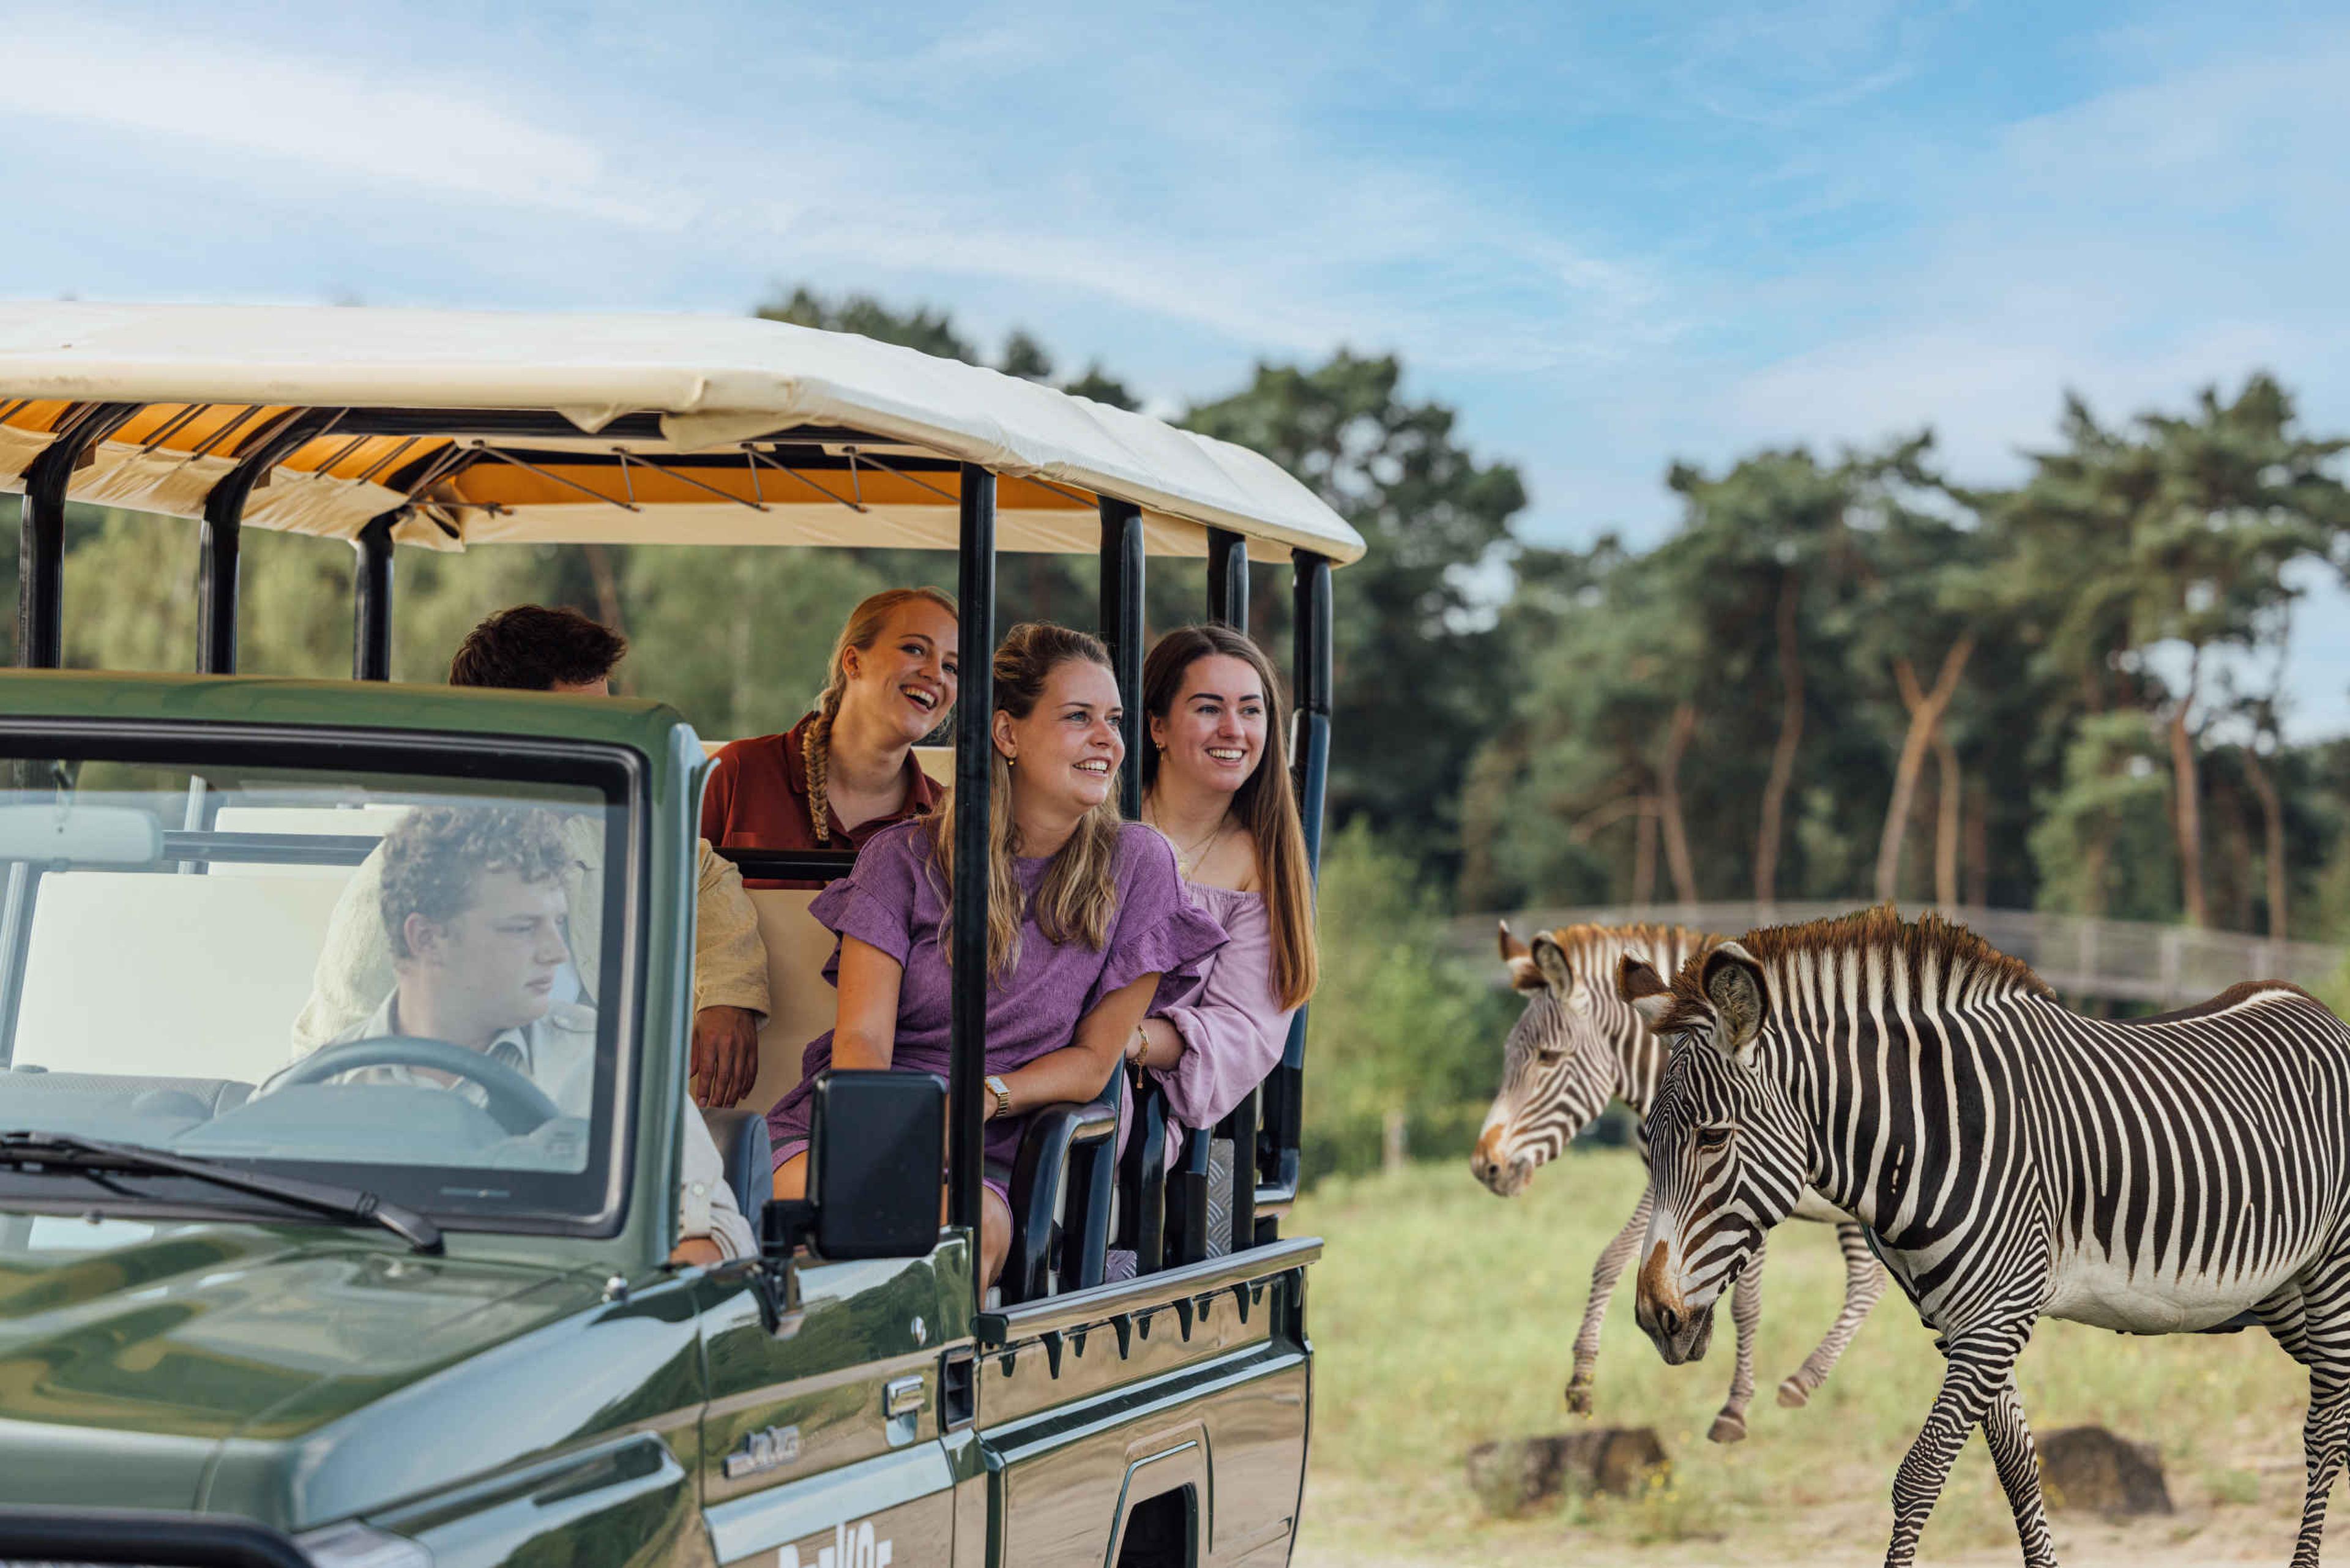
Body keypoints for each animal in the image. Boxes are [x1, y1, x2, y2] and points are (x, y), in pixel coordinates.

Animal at [1471, 920, 1885, 1443]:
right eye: (1509, 1055)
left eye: (1548, 1057)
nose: (1485, 1166)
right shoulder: (1663, 1186)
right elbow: (1610, 1260)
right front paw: (1582, 1378)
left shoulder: (1748, 1193)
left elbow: (1745, 1303)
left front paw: (1734, 1409)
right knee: (1869, 1280)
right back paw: (1805, 1379)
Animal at [1626, 907, 2350, 1568]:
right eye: (1646, 1140)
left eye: (1712, 1138)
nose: (1655, 1317)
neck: (1927, 1138)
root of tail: (2320, 1012)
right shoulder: (1961, 1325)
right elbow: (2020, 1471)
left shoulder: (1996, 1317)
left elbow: (1918, 1478)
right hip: (2282, 1292)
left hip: (2334, 1273)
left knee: (2326, 1434)